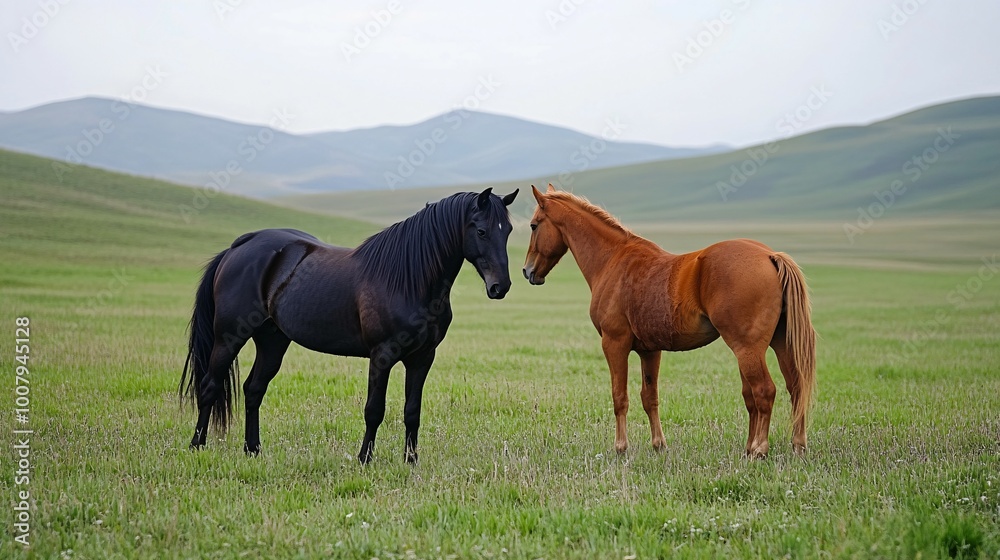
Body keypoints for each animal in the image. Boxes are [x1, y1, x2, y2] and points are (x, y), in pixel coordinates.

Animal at [180, 188, 519, 464]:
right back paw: (197, 446)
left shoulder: (422, 358)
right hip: (228, 337)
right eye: (481, 231)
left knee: (254, 390)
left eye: (509, 232)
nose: (500, 287)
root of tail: (238, 247)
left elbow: (412, 412)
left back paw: (253, 450)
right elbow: (374, 410)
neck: (409, 280)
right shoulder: (382, 356)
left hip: (272, 341)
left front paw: (411, 460)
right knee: (210, 386)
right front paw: (364, 458)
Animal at [521, 184, 815, 458]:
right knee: (793, 387)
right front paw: (658, 444)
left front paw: (621, 447)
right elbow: (649, 398)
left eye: (534, 225)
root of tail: (769, 255)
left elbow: (620, 397)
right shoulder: (650, 351)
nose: (527, 271)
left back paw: (759, 449)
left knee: (764, 391)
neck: (613, 260)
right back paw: (794, 445)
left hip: (748, 349)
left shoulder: (614, 344)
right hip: (779, 344)